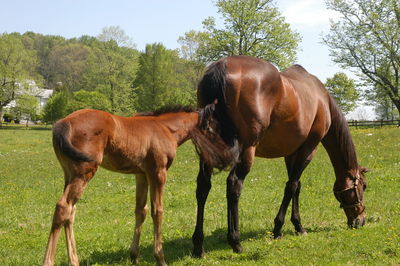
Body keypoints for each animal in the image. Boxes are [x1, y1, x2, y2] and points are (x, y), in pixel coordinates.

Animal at [192, 56, 368, 258]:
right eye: (364, 186)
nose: (361, 220)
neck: (322, 101)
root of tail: (221, 67)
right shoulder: (309, 148)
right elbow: (291, 186)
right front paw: (279, 229)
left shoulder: (291, 153)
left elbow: (296, 186)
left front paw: (298, 225)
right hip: (247, 150)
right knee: (234, 185)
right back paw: (236, 242)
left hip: (208, 150)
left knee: (203, 187)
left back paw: (198, 246)